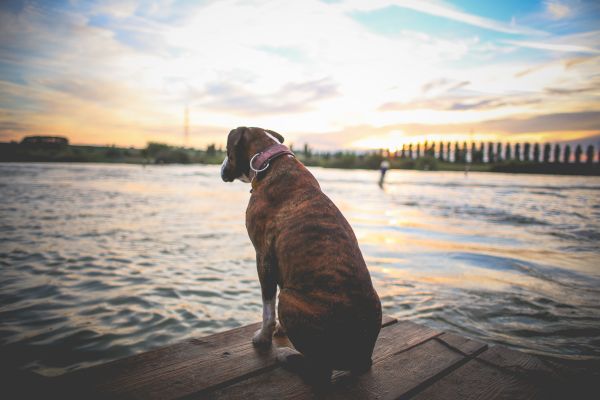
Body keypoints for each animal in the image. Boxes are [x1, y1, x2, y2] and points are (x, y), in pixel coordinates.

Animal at [219, 126, 380, 382]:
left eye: (227, 151)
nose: (222, 165)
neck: (270, 161)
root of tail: (360, 356)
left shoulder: (263, 258)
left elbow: (267, 307)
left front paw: (263, 338)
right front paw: (280, 329)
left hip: (289, 298)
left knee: (320, 371)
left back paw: (286, 355)